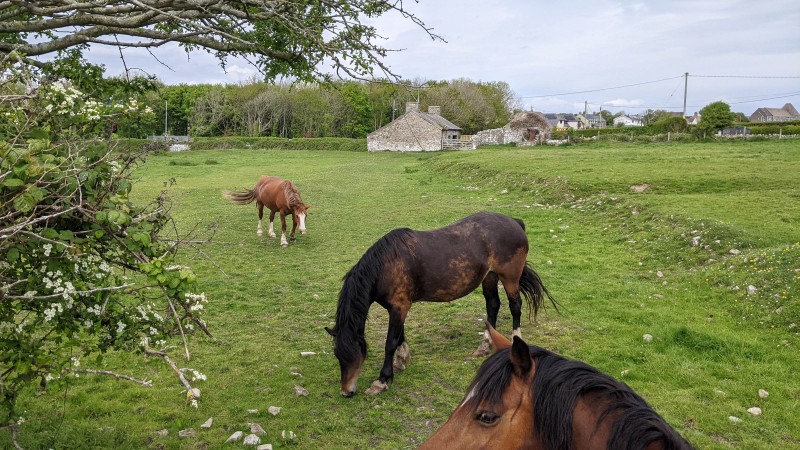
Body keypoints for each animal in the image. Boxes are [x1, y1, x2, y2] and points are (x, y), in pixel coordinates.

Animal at [324, 212, 556, 398]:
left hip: (510, 278)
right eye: (337, 355)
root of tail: (514, 221)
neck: (386, 266)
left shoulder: (399, 306)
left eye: (355, 354)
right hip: (489, 277)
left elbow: (390, 342)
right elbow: (400, 335)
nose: (346, 392)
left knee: (515, 305)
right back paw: (484, 346)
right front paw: (402, 360)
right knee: (493, 305)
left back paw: (515, 338)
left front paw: (382, 380)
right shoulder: (398, 308)